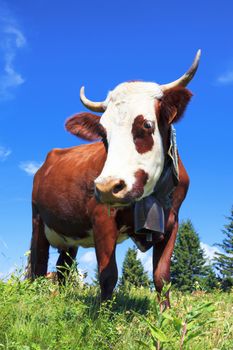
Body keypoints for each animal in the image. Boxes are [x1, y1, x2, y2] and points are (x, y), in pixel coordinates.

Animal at [26, 51, 200, 306]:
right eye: (102, 134)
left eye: (146, 125)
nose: (107, 187)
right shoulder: (102, 219)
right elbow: (108, 274)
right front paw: (103, 314)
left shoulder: (172, 222)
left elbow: (162, 276)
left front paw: (166, 314)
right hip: (38, 220)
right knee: (37, 265)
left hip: (69, 236)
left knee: (62, 269)